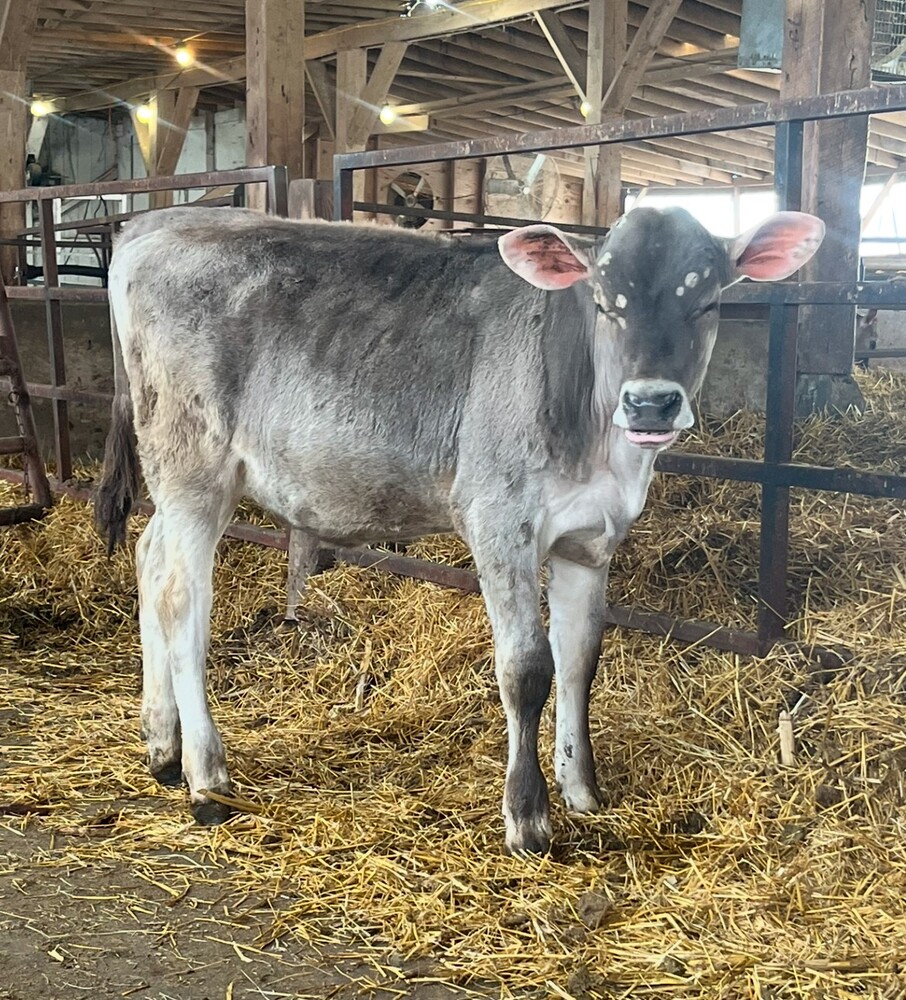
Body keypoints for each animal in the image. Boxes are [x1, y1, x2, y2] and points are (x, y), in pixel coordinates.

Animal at [95, 205, 824, 854]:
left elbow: (580, 659)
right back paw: (205, 778)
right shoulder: (499, 518)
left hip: (183, 481)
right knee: (180, 599)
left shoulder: (591, 539)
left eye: (708, 301)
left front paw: (583, 790)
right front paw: (528, 819)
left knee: (149, 557)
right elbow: (528, 668)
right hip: (193, 462)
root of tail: (154, 222)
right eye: (604, 302)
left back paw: (161, 746)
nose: (650, 402)